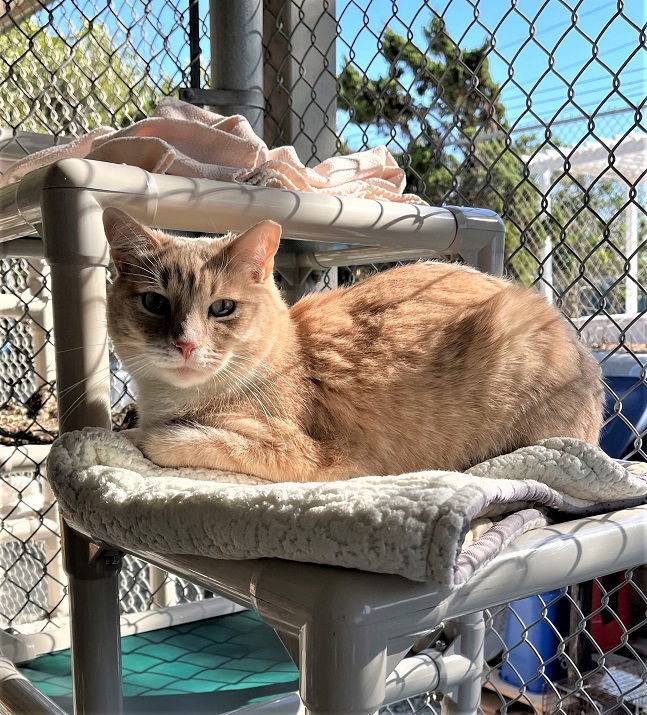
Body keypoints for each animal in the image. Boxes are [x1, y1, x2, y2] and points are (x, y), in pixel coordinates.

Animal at [104, 210, 604, 484]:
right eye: (155, 302)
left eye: (222, 308)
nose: (185, 344)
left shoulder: (315, 456)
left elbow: (176, 440)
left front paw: (144, 434)